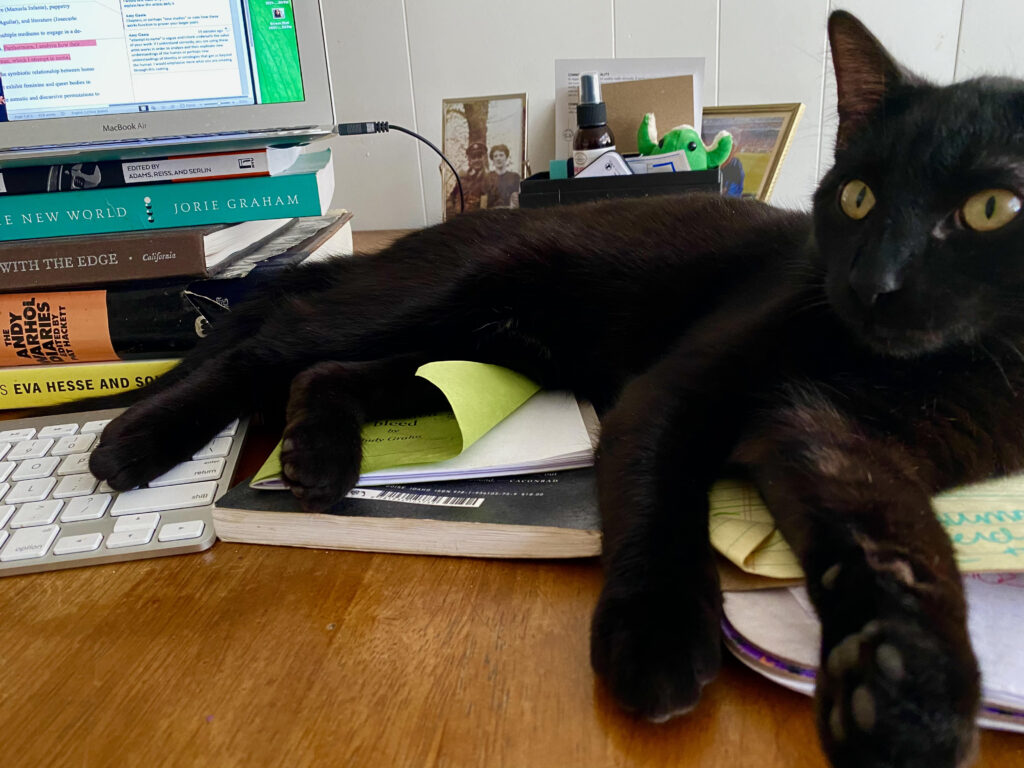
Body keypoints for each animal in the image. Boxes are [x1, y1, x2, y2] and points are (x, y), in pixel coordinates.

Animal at [79, 12, 1024, 768]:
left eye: (991, 210)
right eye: (859, 198)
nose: (875, 283)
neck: (936, 369)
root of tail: (439, 229)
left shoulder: (836, 438)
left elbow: (903, 546)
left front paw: (908, 689)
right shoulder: (673, 392)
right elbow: (657, 504)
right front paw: (655, 632)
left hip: (476, 353)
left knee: (322, 370)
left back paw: (317, 457)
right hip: (428, 301)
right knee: (272, 343)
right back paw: (134, 441)